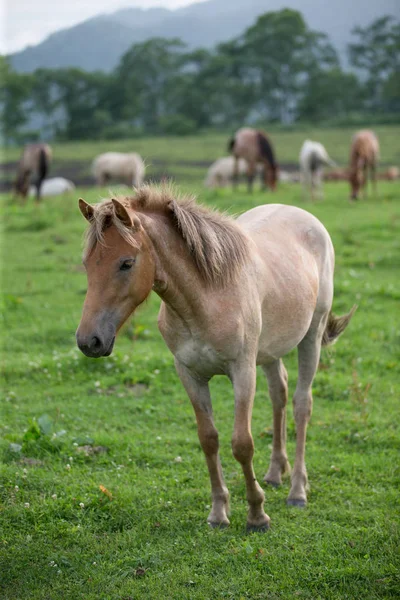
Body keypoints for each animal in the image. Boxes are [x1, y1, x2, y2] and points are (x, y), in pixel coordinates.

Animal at [76, 186, 356, 528]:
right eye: (87, 264)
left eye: (126, 263)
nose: (89, 341)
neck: (207, 298)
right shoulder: (190, 374)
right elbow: (208, 439)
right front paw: (219, 512)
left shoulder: (243, 372)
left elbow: (242, 444)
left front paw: (257, 514)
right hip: (270, 351)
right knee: (279, 393)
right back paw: (275, 472)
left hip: (311, 337)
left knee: (302, 404)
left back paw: (297, 491)